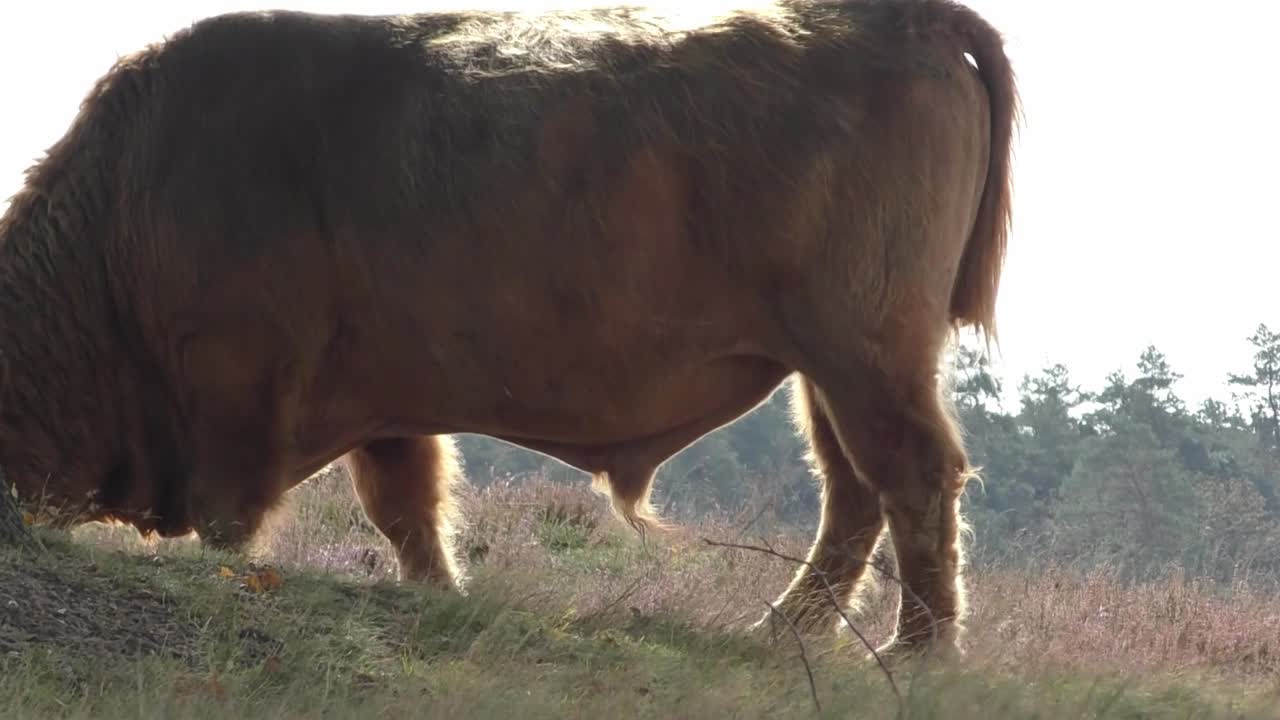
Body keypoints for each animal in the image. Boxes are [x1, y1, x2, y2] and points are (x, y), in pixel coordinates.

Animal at [0, 0, 1017, 661]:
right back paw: (779, 634)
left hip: (864, 358)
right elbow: (407, 507)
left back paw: (918, 655)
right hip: (824, 371)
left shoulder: (235, 398)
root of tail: (904, 17)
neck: (125, 206)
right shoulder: (387, 405)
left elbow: (236, 521)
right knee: (852, 495)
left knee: (911, 479)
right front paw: (439, 594)